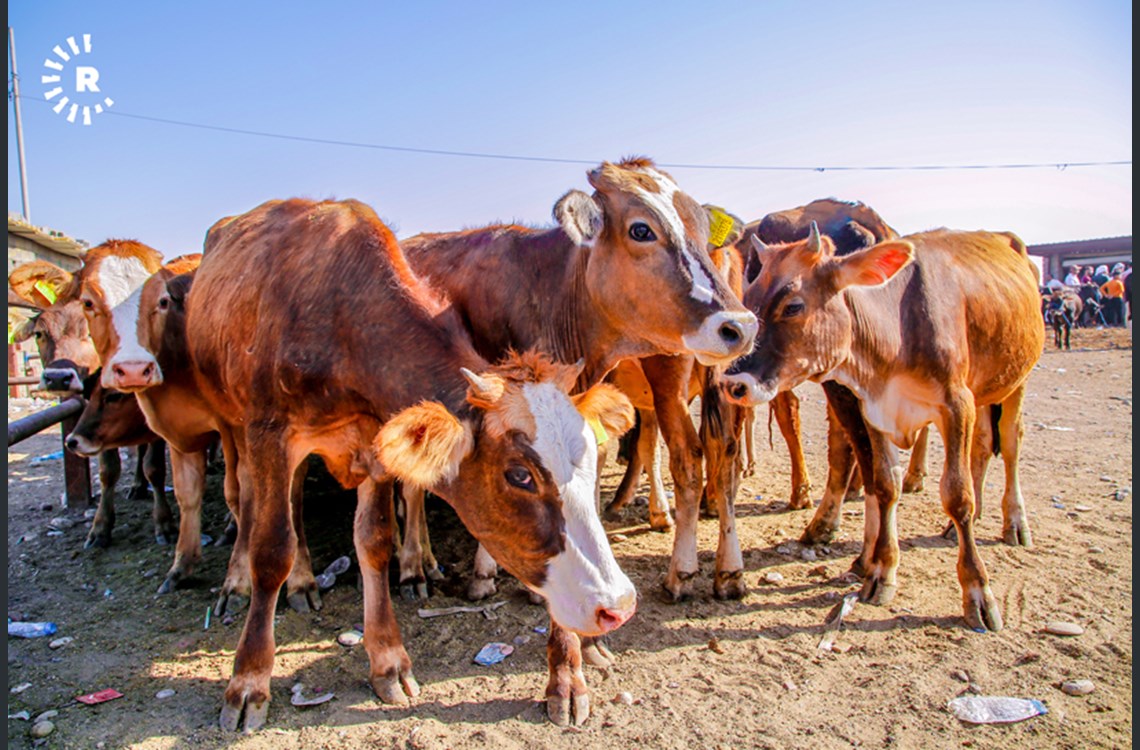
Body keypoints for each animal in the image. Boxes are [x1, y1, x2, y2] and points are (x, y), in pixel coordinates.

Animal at [180, 196, 642, 729]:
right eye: (519, 475)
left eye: (590, 462)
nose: (618, 605)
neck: (340, 317)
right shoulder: (268, 432)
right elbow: (271, 549)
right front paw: (248, 681)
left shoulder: (376, 438)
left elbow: (375, 540)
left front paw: (388, 660)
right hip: (232, 424)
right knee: (247, 501)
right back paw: (243, 582)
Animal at [725, 224, 1044, 629]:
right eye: (749, 299)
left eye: (793, 306)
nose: (733, 383)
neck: (896, 331)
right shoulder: (873, 409)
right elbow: (884, 484)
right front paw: (881, 571)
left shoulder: (957, 405)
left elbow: (957, 495)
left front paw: (978, 591)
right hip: (986, 391)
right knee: (985, 445)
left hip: (1017, 378)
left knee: (1012, 444)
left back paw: (1015, 521)